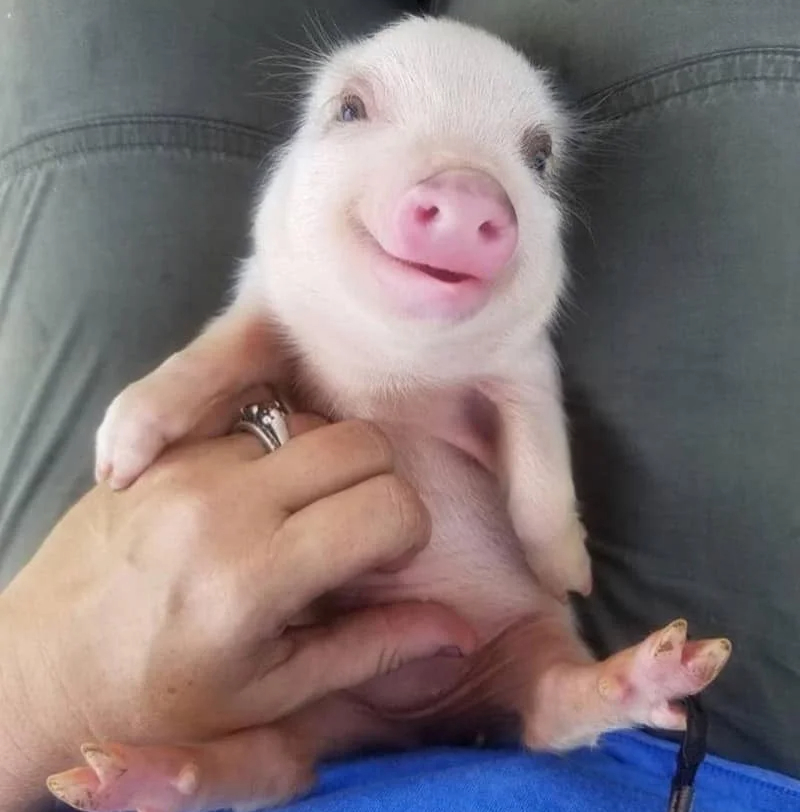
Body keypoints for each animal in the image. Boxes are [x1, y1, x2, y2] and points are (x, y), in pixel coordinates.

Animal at [49, 14, 732, 812]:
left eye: (537, 156)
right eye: (350, 108)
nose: (470, 191)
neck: (393, 373)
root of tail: (413, 726)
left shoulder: (526, 369)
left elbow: (540, 470)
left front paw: (570, 575)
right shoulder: (263, 304)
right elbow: (209, 357)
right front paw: (118, 463)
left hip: (527, 648)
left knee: (550, 713)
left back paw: (663, 667)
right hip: (296, 708)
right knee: (272, 764)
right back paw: (111, 778)